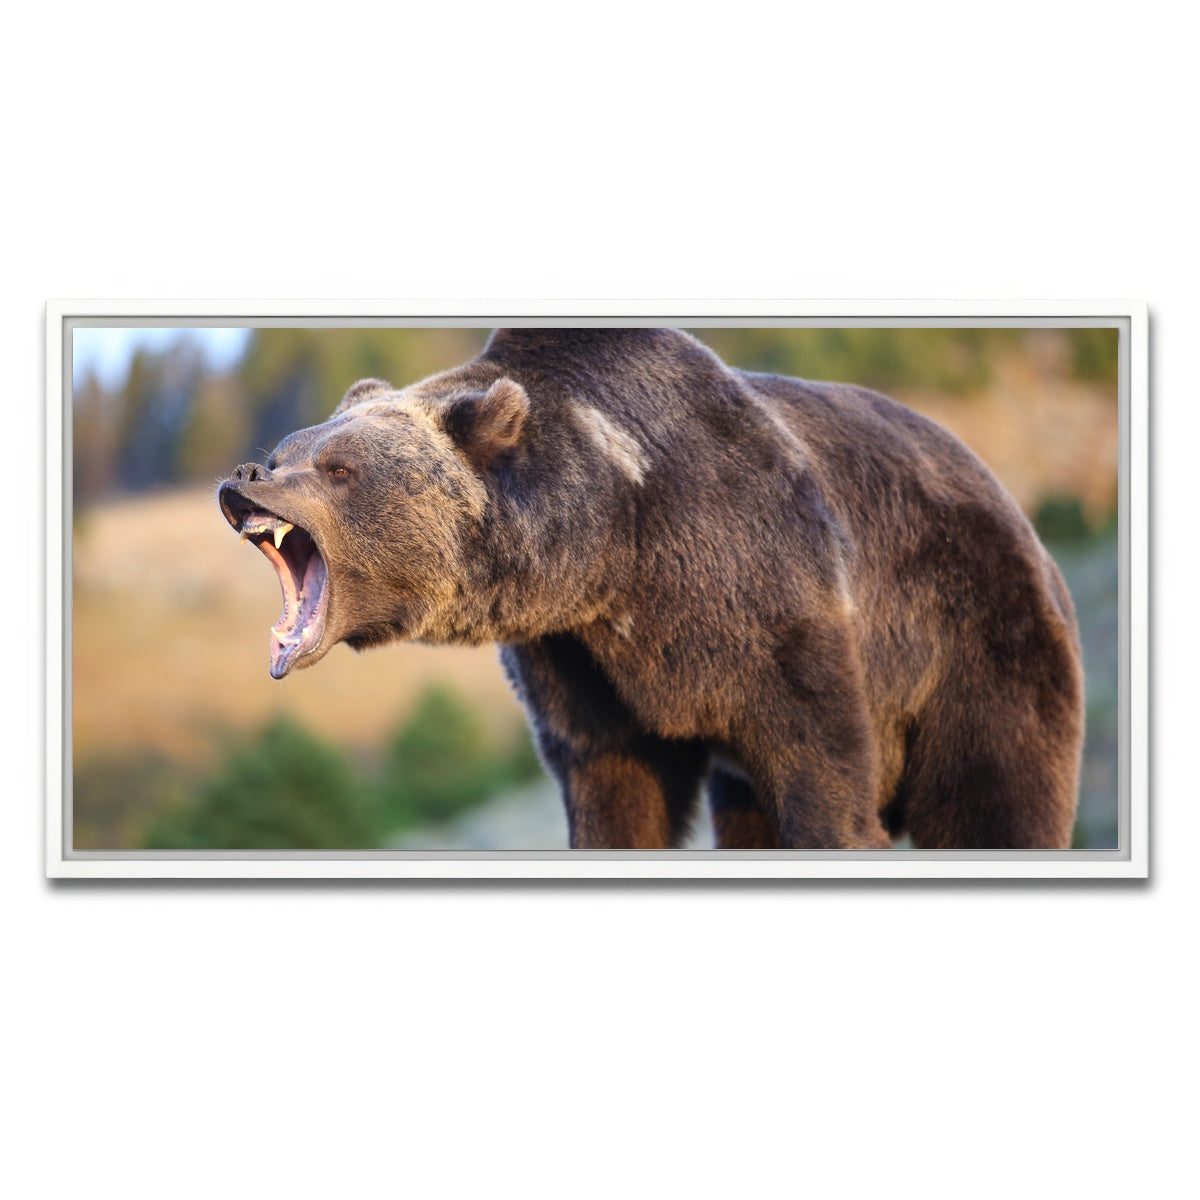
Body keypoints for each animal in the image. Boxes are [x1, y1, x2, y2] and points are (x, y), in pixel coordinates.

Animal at [218, 327, 1085, 850]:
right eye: (289, 448)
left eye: (338, 468)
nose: (246, 476)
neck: (614, 550)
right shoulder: (579, 663)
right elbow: (615, 789)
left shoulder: (774, 597)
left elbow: (823, 771)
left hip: (977, 640)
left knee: (997, 795)